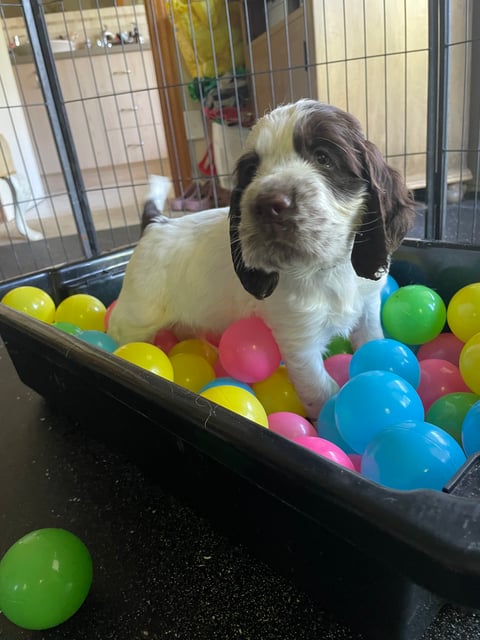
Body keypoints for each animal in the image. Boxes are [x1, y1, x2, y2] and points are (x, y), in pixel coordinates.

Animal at [108, 99, 412, 420]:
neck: (327, 268)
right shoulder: (299, 339)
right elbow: (321, 390)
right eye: (252, 170)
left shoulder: (368, 306)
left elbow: (373, 341)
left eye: (324, 158)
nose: (268, 204)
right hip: (136, 316)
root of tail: (156, 223)